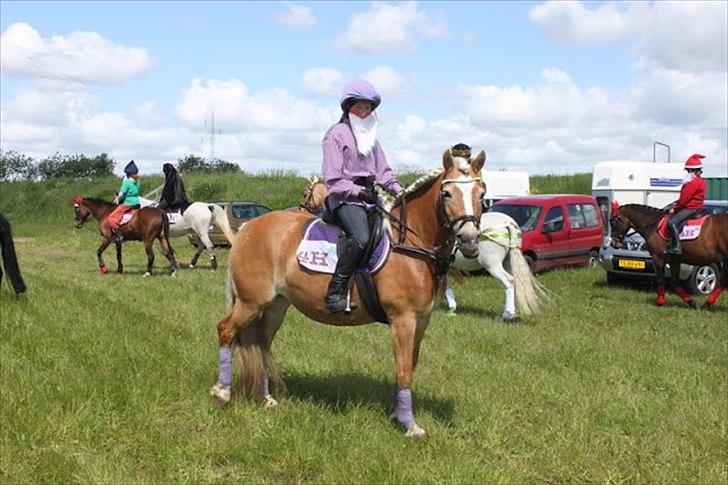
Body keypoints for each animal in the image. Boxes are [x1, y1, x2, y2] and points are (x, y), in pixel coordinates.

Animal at [208, 147, 486, 434]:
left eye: (482, 194)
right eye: (446, 193)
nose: (469, 239)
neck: (409, 243)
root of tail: (247, 228)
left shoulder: (421, 320)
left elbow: (409, 364)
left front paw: (398, 414)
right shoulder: (403, 319)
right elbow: (403, 370)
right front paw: (410, 425)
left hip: (276, 304)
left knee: (261, 343)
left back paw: (265, 398)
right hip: (251, 301)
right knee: (226, 329)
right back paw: (221, 392)